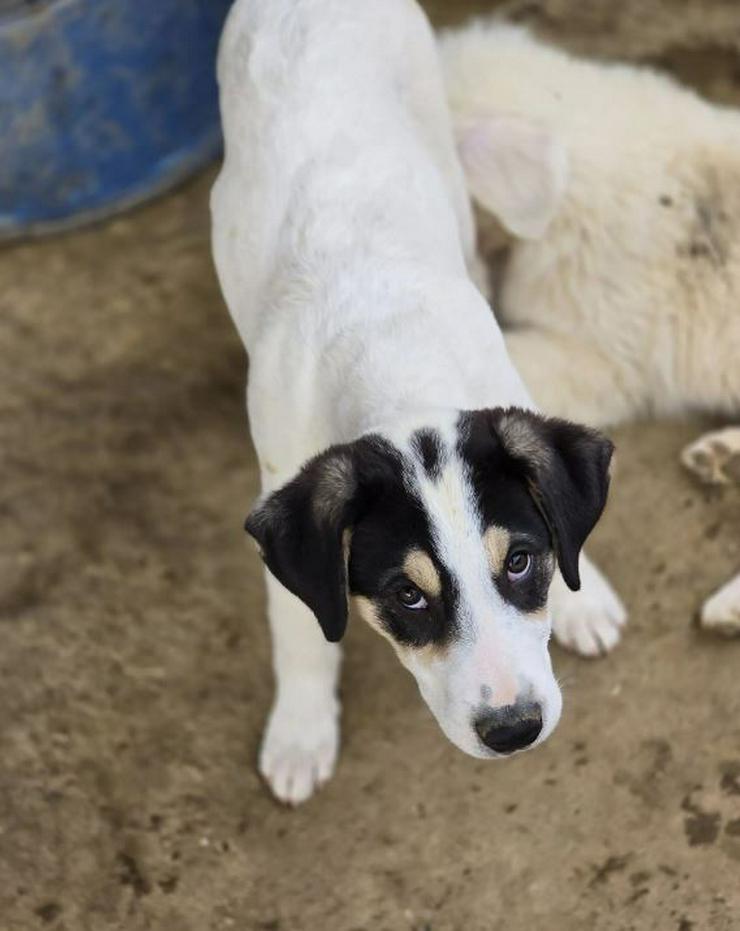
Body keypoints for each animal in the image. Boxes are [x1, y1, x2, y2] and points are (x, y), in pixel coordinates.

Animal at [210, 0, 620, 800]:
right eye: (406, 595)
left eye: (520, 561)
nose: (514, 730)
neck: (392, 351)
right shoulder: (277, 478)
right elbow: (299, 631)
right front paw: (301, 729)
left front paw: (586, 600)